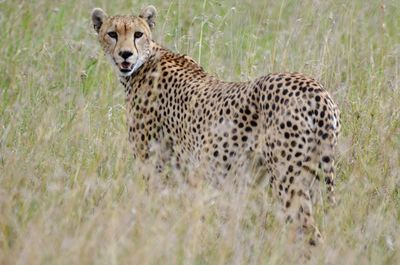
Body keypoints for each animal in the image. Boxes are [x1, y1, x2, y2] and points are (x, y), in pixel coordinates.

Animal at [91, 5, 340, 244]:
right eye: (112, 34)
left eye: (138, 34)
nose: (125, 54)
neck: (146, 60)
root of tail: (315, 89)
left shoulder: (155, 167)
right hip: (314, 176)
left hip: (288, 180)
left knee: (309, 232)